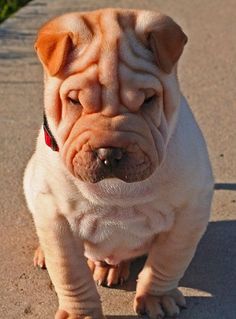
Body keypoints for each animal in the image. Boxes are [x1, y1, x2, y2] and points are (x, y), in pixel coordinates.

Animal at [23, 7, 214, 319]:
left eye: (149, 100)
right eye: (74, 101)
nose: (109, 152)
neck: (116, 190)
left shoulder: (190, 211)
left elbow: (167, 261)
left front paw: (157, 298)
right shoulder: (55, 216)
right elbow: (69, 271)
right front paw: (80, 313)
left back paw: (111, 268)